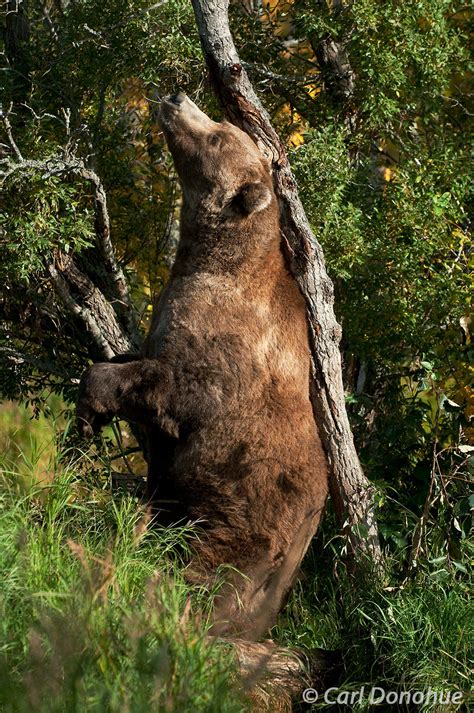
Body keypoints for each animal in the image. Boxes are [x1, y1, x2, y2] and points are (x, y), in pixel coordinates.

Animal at [78, 93, 330, 640]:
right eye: (222, 123)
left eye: (218, 136)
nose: (177, 99)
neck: (208, 258)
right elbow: (132, 356)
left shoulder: (226, 352)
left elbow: (173, 386)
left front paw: (90, 405)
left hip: (247, 522)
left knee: (211, 572)